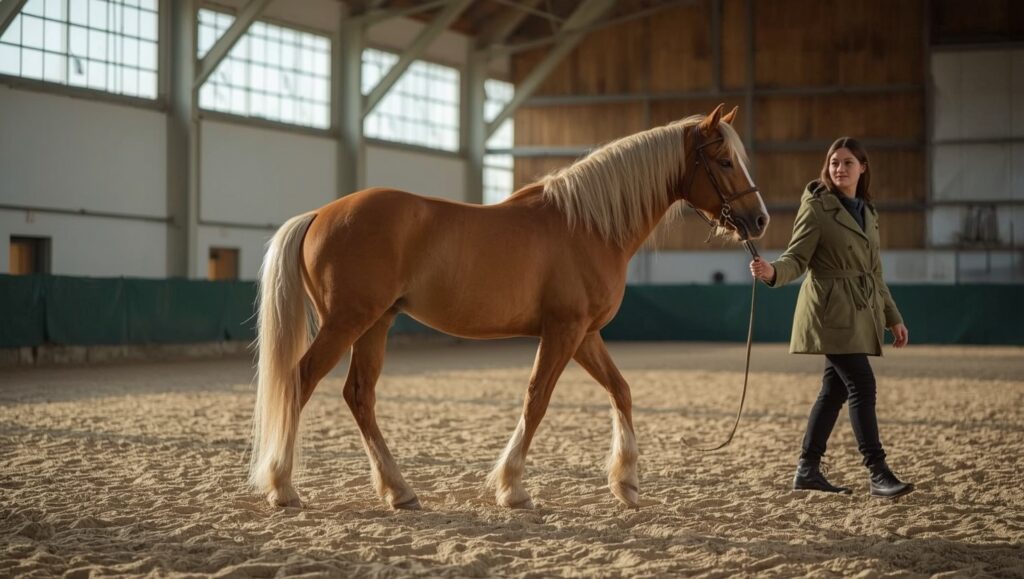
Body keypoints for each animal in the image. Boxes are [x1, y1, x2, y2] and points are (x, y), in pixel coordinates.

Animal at [249, 103, 769, 510]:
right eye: (725, 161)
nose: (760, 219)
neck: (588, 226)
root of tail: (321, 213)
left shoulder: (585, 335)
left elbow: (620, 391)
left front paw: (626, 484)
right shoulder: (563, 331)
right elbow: (536, 400)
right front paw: (513, 488)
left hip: (377, 323)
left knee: (359, 395)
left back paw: (399, 491)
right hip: (347, 322)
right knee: (299, 382)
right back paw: (283, 487)